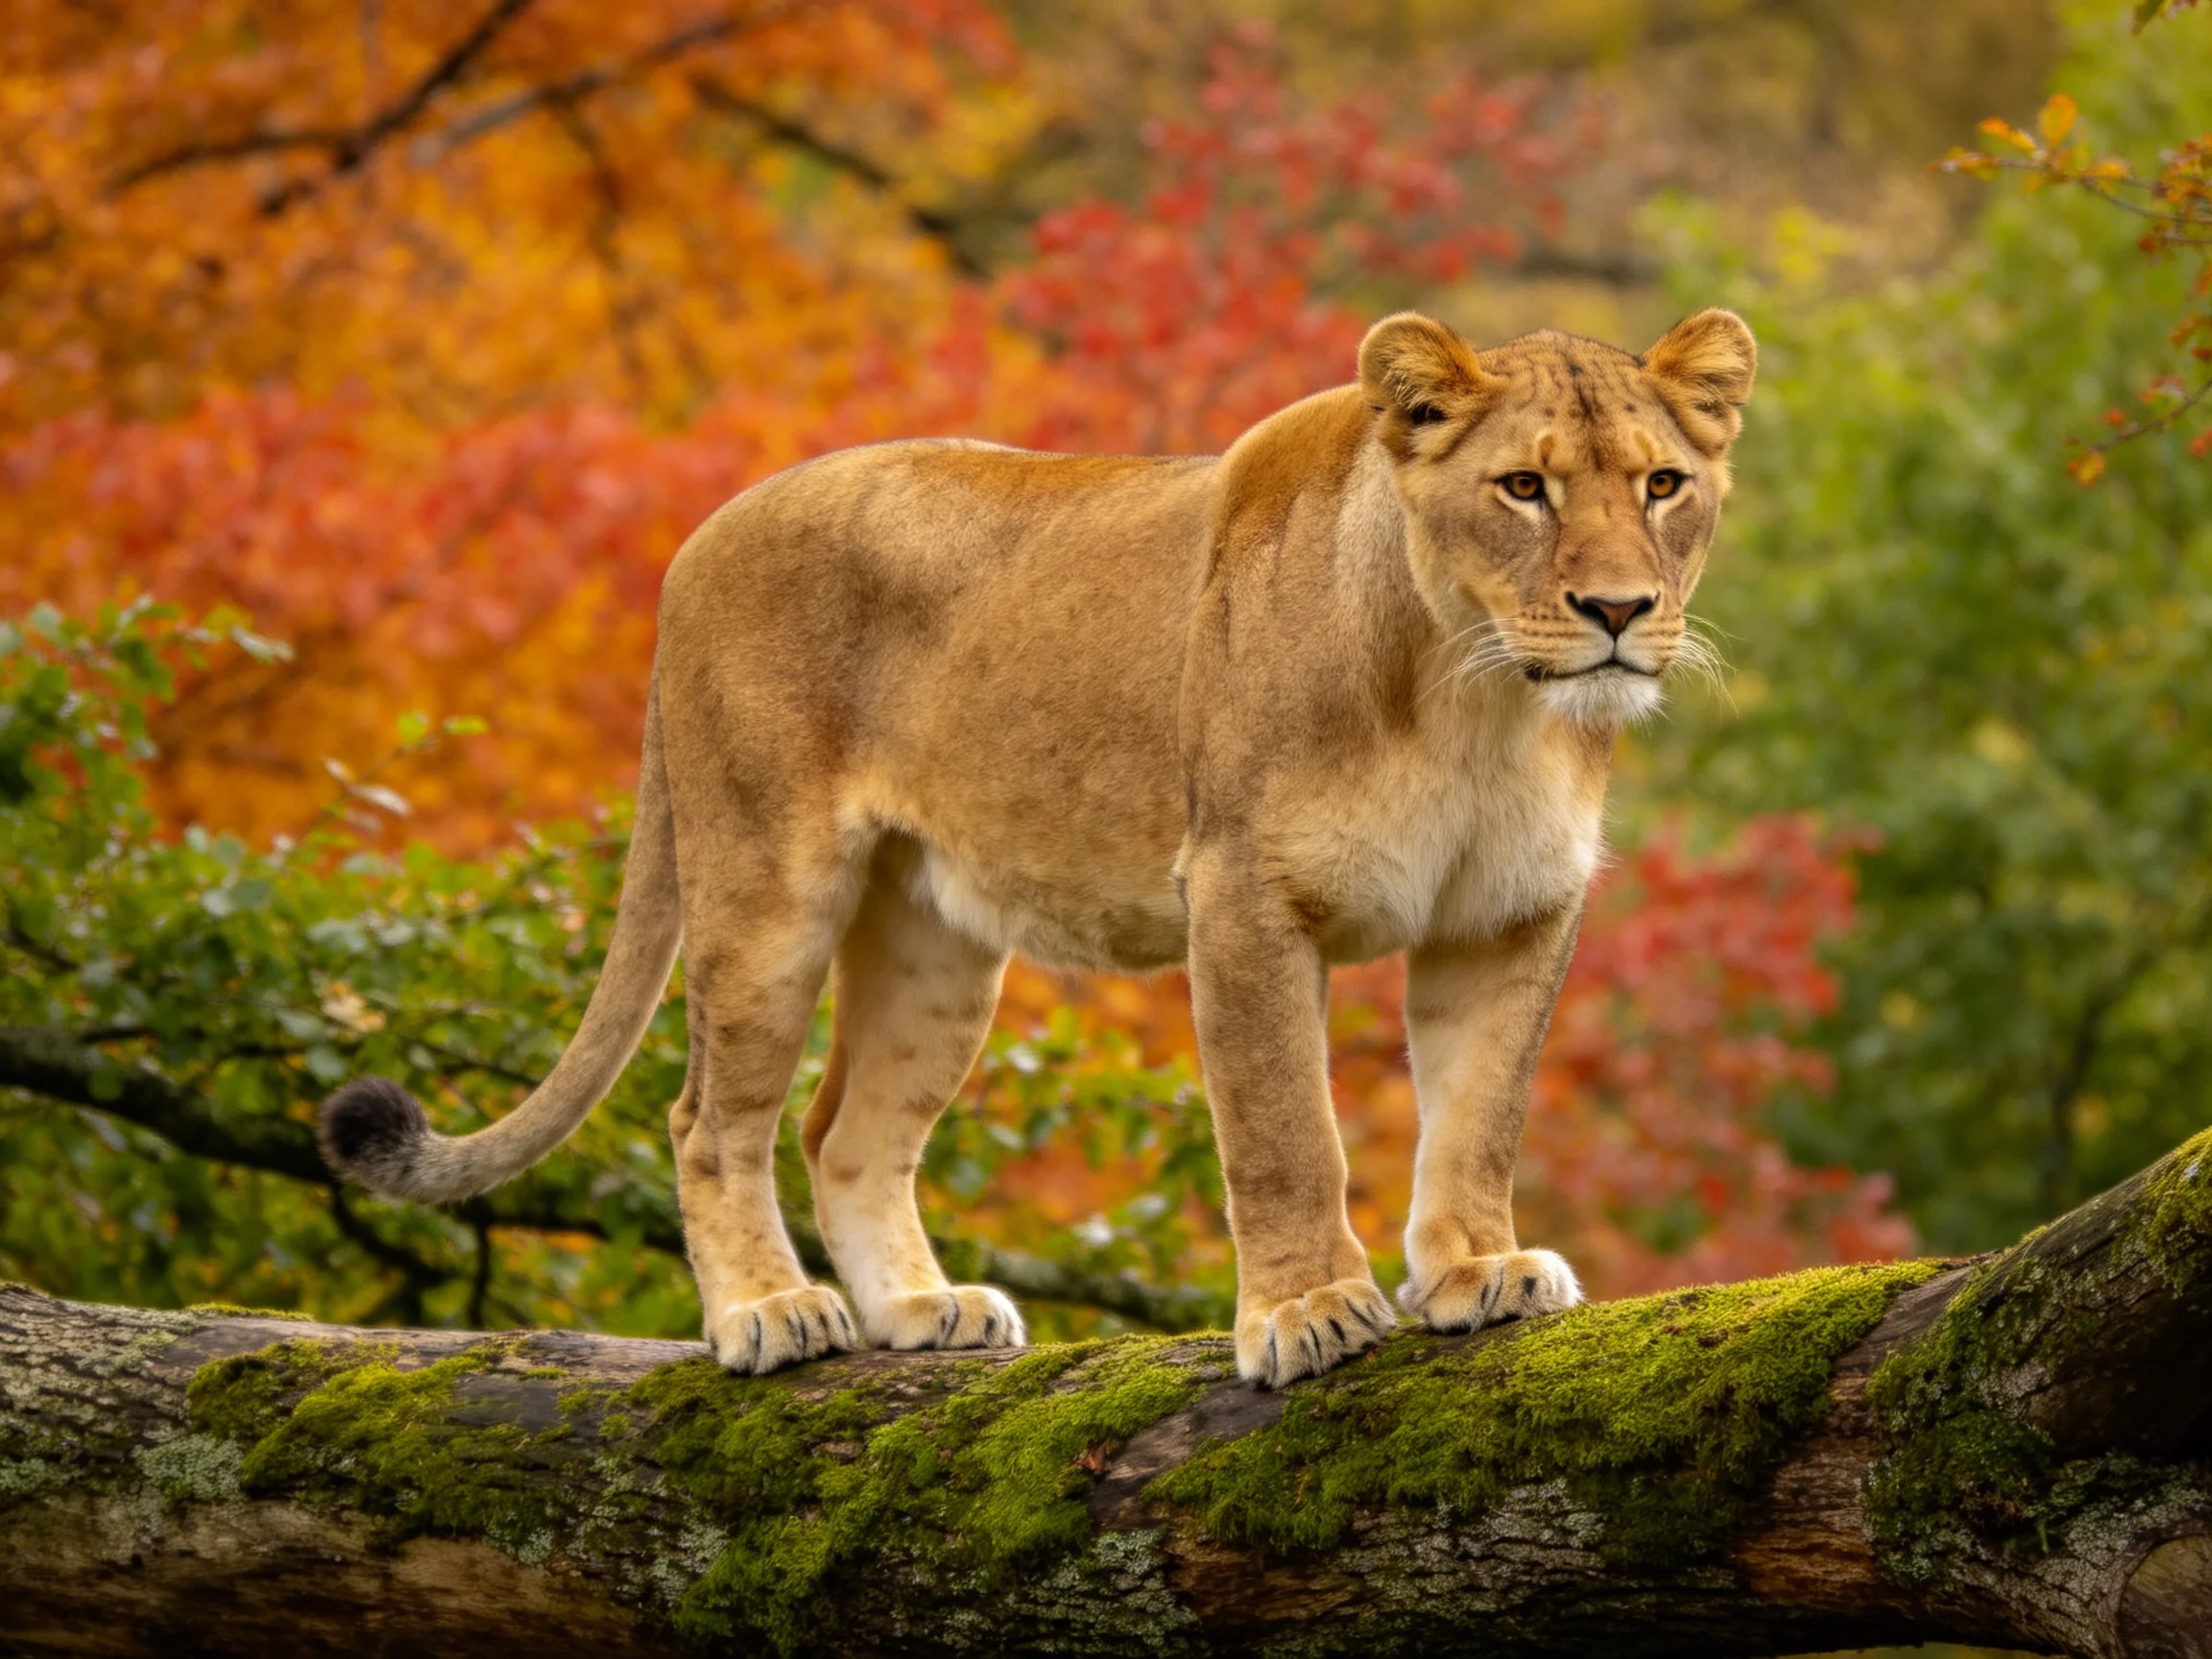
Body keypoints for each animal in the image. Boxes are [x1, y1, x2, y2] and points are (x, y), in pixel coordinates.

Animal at [319, 307, 1756, 1387]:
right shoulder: (1241, 895)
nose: (1619, 610)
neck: (1482, 701)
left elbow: (1479, 1113)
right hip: (766, 887)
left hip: (934, 944)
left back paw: (923, 1311)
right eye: (1522, 488)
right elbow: (1284, 1126)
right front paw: (1306, 1313)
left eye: (1662, 484)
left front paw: (1474, 1270)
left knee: (846, 1129)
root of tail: (699, 538)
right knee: (709, 1119)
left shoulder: (1508, 916)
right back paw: (766, 1316)